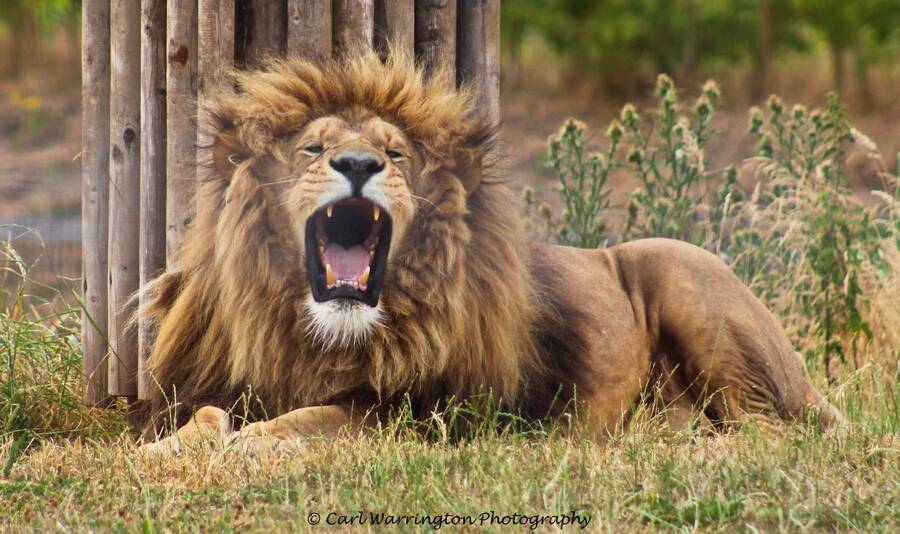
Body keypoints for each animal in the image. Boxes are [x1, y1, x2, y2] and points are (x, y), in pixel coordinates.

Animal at [138, 49, 842, 455]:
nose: (359, 165)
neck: (319, 334)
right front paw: (170, 449)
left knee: (769, 431)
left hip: (686, 278)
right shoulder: (221, 381)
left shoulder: (437, 413)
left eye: (395, 154)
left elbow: (327, 417)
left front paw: (258, 442)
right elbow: (202, 416)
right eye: (312, 148)